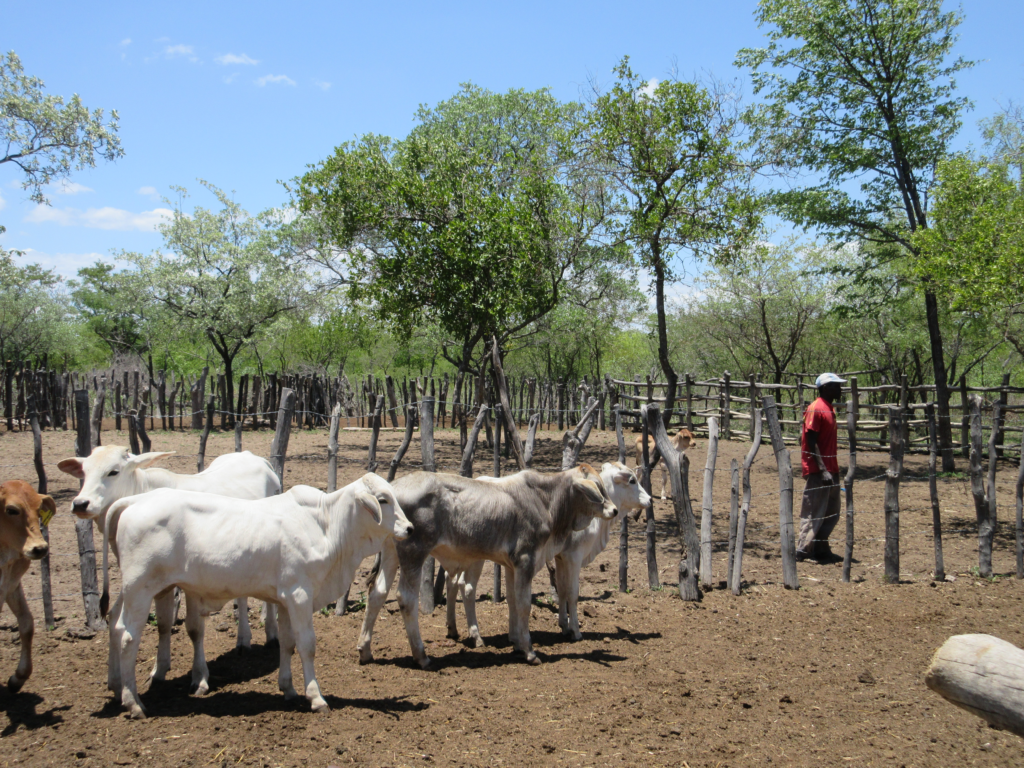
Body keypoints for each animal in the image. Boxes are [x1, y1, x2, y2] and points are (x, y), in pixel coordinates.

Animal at [0, 483, 54, 696]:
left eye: (39, 510)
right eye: (11, 510)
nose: (40, 548)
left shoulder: (11, 585)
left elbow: (27, 624)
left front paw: (18, 677)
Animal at [59, 444, 284, 692]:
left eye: (113, 471)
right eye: (84, 472)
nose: (81, 503)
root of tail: (253, 457)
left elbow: (194, 628)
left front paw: (200, 676)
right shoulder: (156, 583)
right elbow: (163, 624)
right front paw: (159, 670)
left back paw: (272, 633)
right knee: (242, 597)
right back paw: (243, 639)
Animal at [102, 475, 407, 720]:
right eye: (383, 499)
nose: (410, 528)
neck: (326, 526)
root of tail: (134, 500)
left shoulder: (285, 600)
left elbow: (287, 644)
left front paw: (288, 689)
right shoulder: (300, 594)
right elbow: (307, 645)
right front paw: (316, 697)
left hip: (132, 590)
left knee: (114, 623)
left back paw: (118, 689)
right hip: (140, 589)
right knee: (128, 637)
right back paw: (134, 704)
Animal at [358, 466, 614, 671]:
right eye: (598, 488)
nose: (614, 511)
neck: (545, 500)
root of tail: (393, 488)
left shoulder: (512, 565)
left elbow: (513, 600)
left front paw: (518, 645)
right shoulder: (526, 559)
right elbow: (524, 605)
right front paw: (530, 652)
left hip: (391, 551)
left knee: (377, 593)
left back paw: (365, 650)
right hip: (414, 552)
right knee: (406, 598)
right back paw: (421, 656)